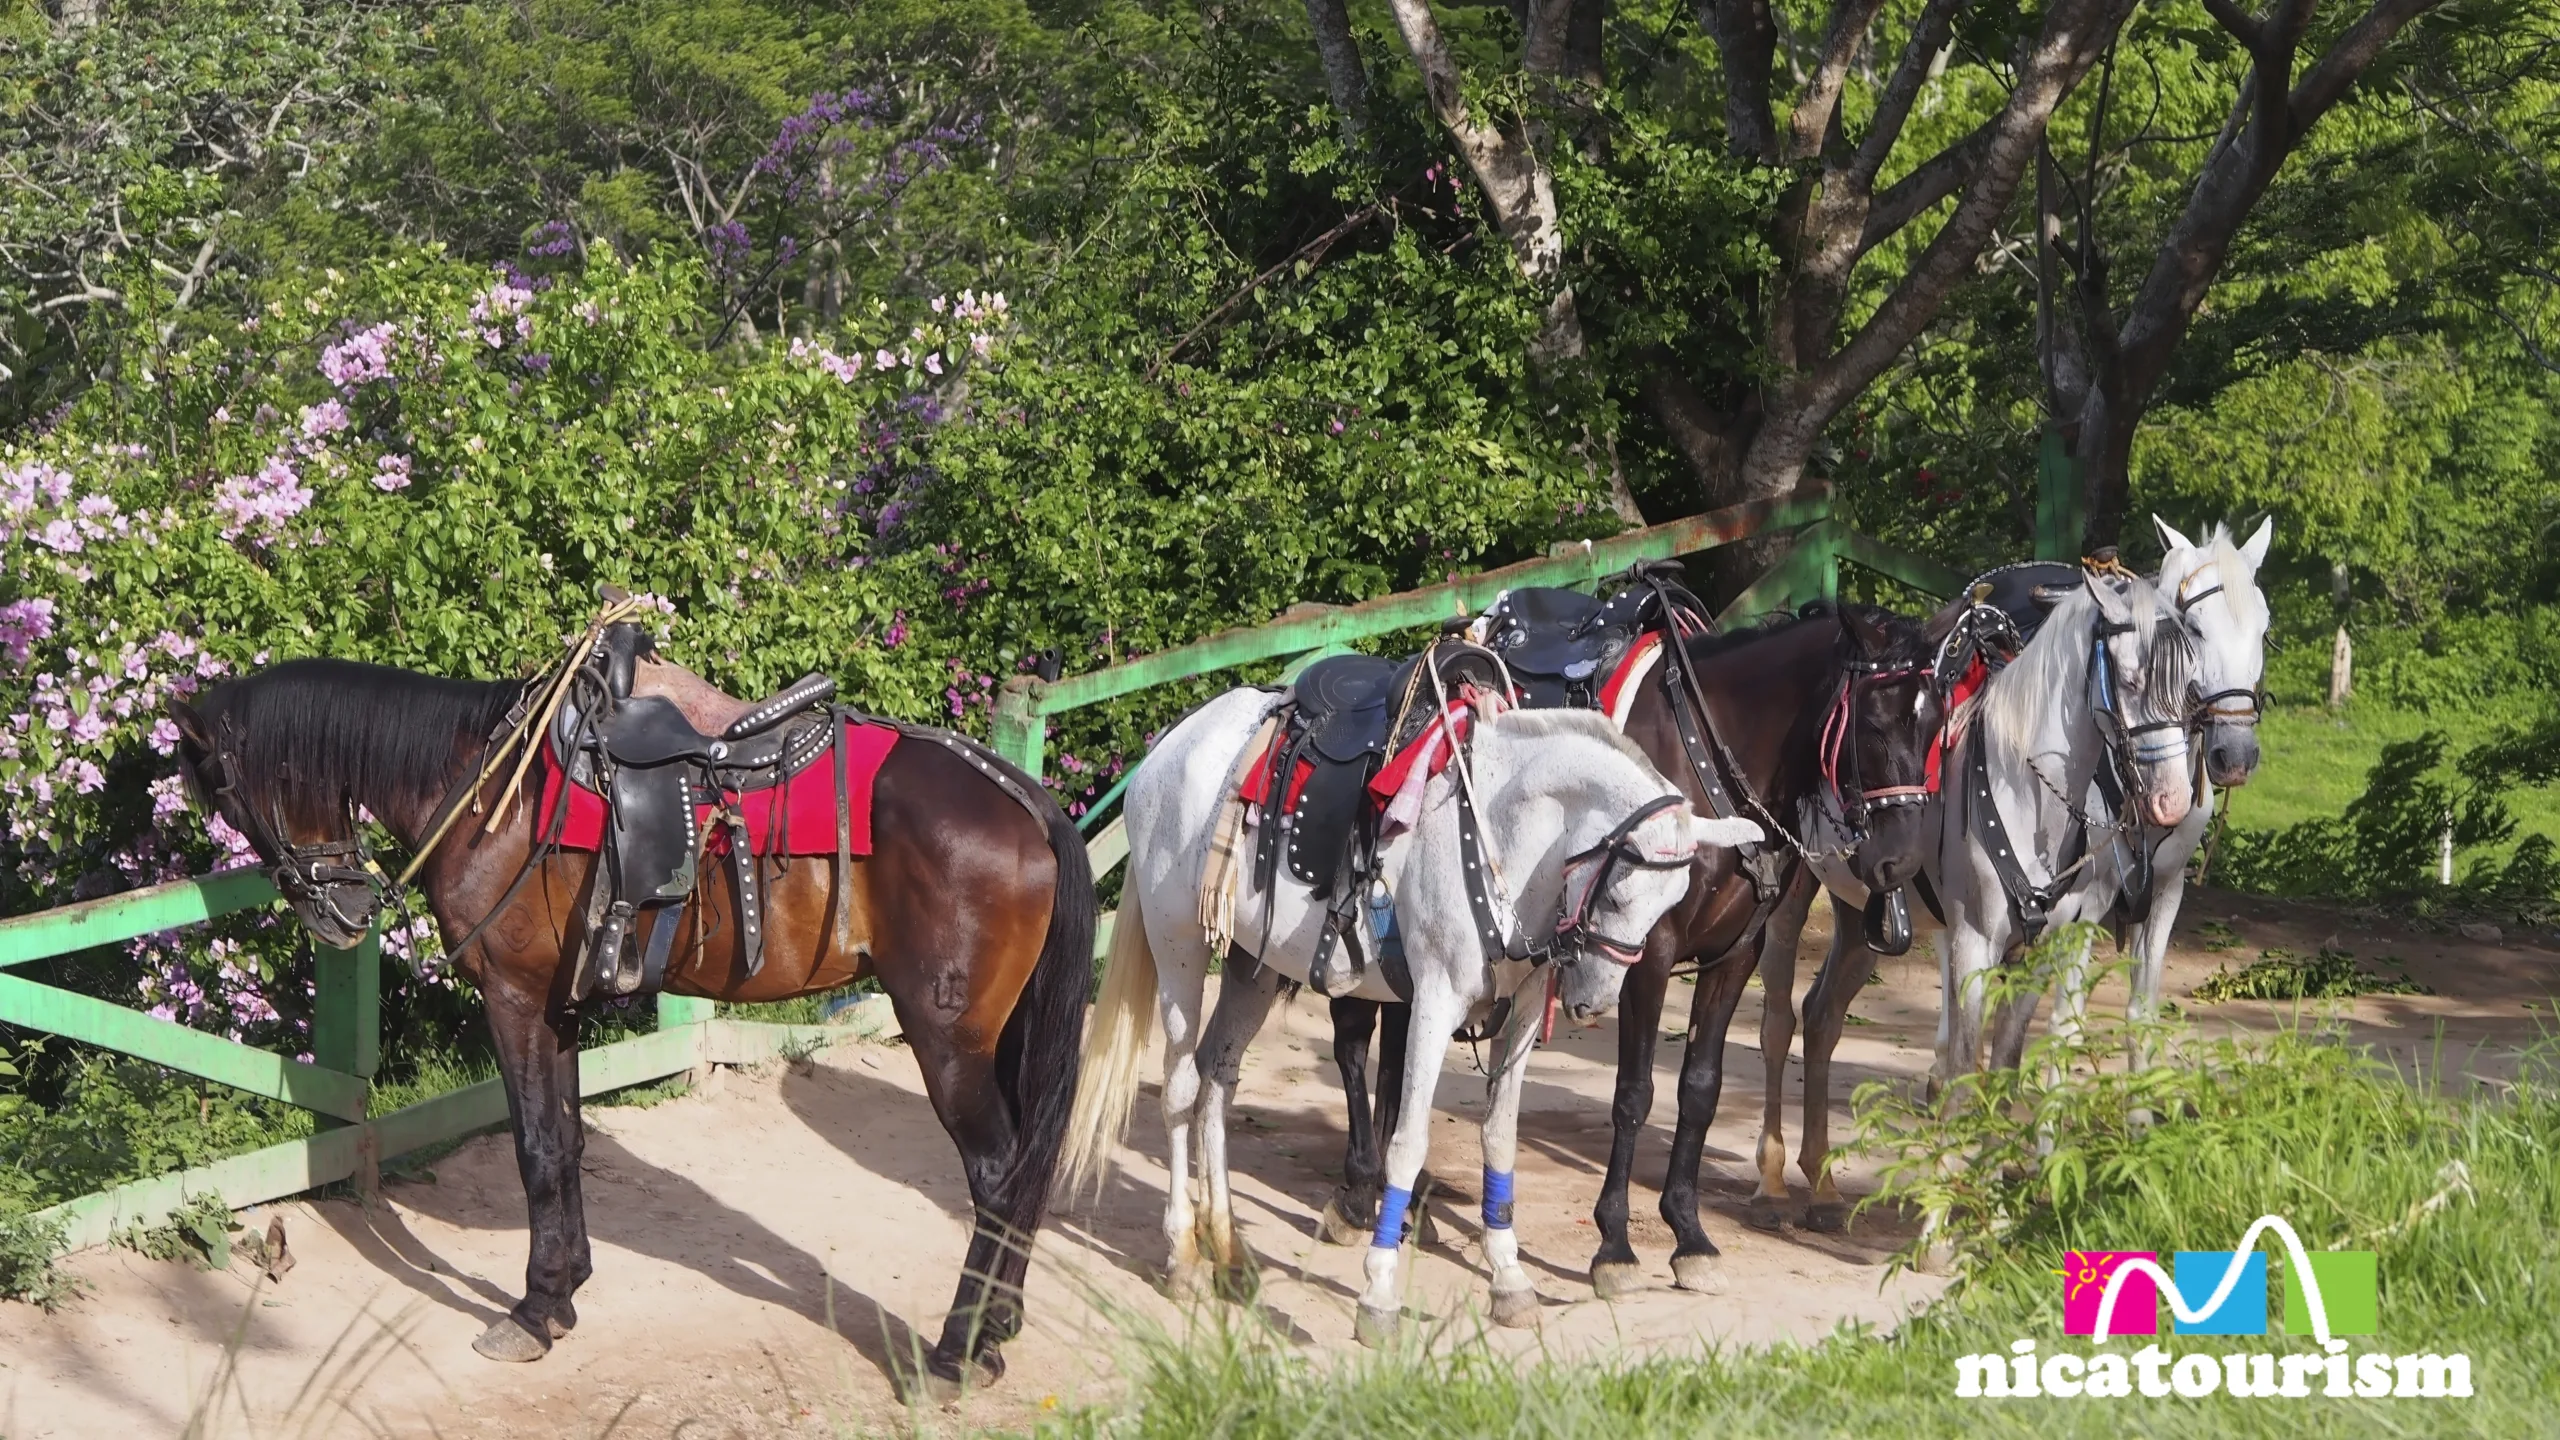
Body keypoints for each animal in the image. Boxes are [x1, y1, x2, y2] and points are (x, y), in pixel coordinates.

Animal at [167, 648, 1090, 1393]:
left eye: (225, 791)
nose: (345, 913)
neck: (489, 788)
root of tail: (1023, 799)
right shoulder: (558, 1004)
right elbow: (569, 1141)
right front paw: (566, 1286)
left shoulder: (513, 999)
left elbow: (537, 1148)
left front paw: (534, 1311)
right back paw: (994, 1331)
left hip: (949, 1042)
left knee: (999, 1175)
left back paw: (957, 1352)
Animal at [1059, 681, 1761, 1332]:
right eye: (1617, 891)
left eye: (1670, 903)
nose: (1590, 1001)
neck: (1496, 833)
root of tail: (1173, 743)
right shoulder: (1432, 1004)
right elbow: (1406, 1142)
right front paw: (1378, 1294)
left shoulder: (1521, 1016)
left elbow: (1499, 1139)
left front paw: (1509, 1281)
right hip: (1178, 943)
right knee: (1180, 1087)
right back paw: (1183, 1256)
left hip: (1250, 967)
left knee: (1216, 1081)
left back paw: (1229, 1253)